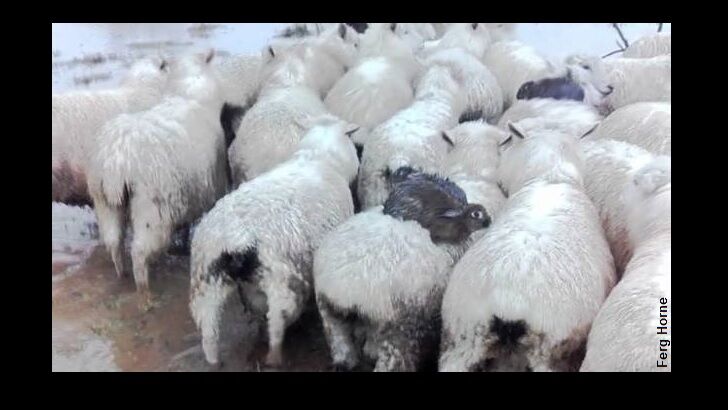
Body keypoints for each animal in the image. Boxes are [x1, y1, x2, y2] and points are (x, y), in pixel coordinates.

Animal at [87, 50, 227, 302]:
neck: (189, 93)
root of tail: (116, 164)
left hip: (104, 201)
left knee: (113, 241)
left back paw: (121, 275)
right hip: (152, 209)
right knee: (140, 252)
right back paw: (144, 292)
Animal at [189, 116, 360, 367]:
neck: (317, 158)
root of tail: (235, 239)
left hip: (206, 280)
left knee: (209, 329)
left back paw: (214, 361)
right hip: (281, 281)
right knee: (277, 322)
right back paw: (274, 357)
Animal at [314, 168, 491, 371]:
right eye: (476, 214)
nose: (488, 221)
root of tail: (349, 289)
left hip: (332, 318)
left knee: (345, 353)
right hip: (399, 332)